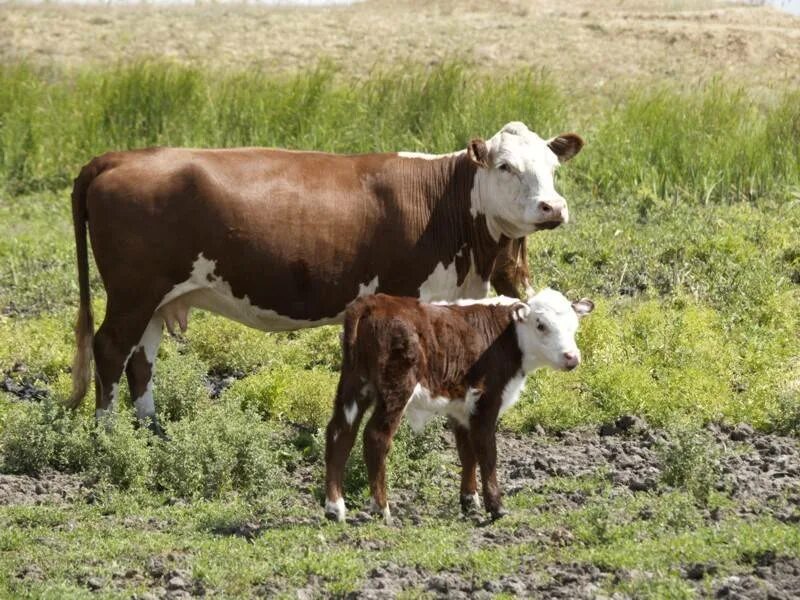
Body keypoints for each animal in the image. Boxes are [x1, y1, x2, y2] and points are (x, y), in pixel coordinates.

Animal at [67, 122, 580, 434]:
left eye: (553, 168)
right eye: (505, 166)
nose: (552, 208)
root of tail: (119, 157)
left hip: (157, 297)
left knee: (141, 360)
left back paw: (150, 428)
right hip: (133, 291)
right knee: (110, 348)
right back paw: (107, 434)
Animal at [322, 288, 592, 524]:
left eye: (574, 326)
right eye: (541, 325)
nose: (572, 357)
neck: (509, 338)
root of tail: (372, 303)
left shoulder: (461, 407)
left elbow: (466, 452)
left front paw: (469, 500)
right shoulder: (486, 400)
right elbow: (486, 451)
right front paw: (496, 507)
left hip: (354, 383)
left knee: (340, 432)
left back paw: (335, 508)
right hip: (396, 387)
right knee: (375, 437)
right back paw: (381, 508)